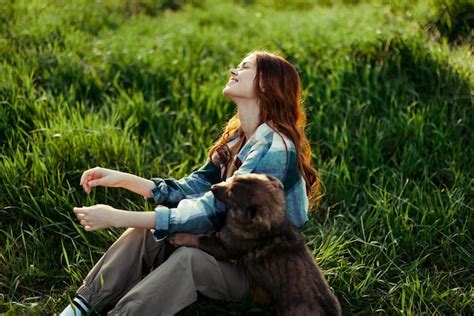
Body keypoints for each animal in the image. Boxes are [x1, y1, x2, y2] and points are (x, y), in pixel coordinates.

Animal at [168, 173, 342, 316]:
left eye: (230, 194)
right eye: (234, 178)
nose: (212, 187)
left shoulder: (224, 248)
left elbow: (200, 240)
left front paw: (178, 237)